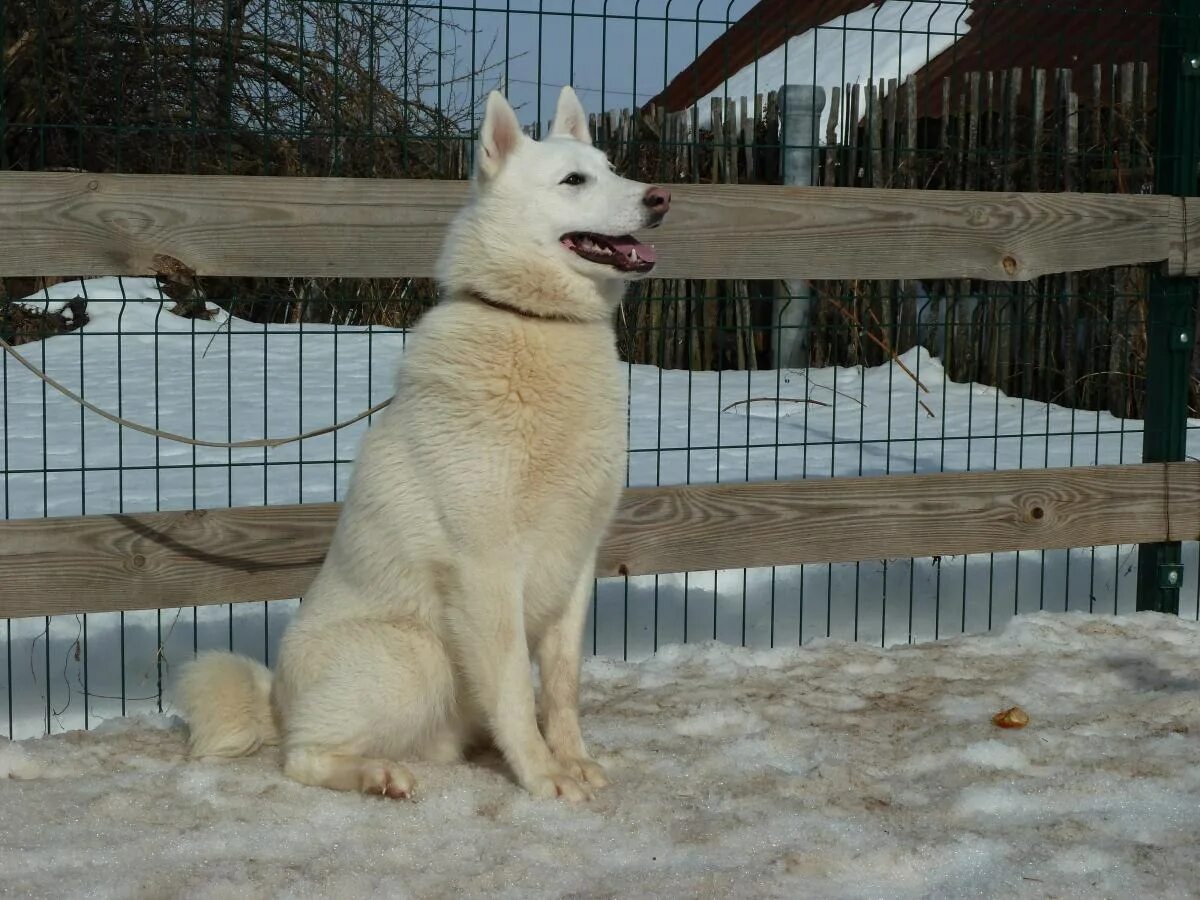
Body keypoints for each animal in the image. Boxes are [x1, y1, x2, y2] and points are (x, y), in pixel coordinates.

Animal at [175, 84, 672, 801]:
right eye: (573, 181)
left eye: (612, 168)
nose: (660, 198)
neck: (538, 324)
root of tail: (275, 701)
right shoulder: (488, 571)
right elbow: (516, 689)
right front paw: (542, 776)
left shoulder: (577, 564)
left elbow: (562, 686)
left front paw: (572, 759)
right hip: (416, 656)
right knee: (301, 758)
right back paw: (377, 774)